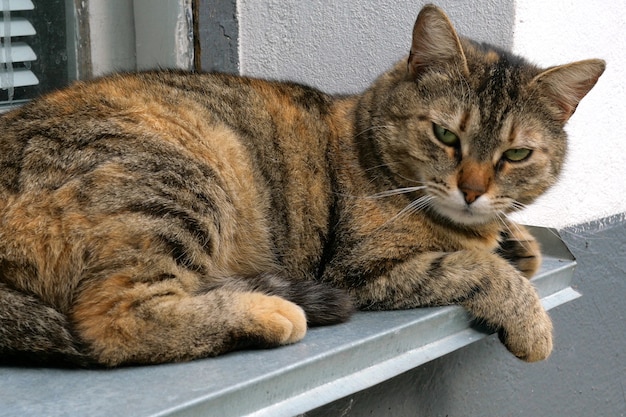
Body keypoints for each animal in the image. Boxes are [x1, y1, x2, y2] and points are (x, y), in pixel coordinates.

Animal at [1, 4, 604, 366]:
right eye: (445, 135)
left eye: (516, 154)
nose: (473, 190)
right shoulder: (363, 269)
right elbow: (482, 270)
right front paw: (531, 321)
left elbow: (512, 247)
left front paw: (514, 239)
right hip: (180, 179)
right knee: (113, 322)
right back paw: (268, 312)